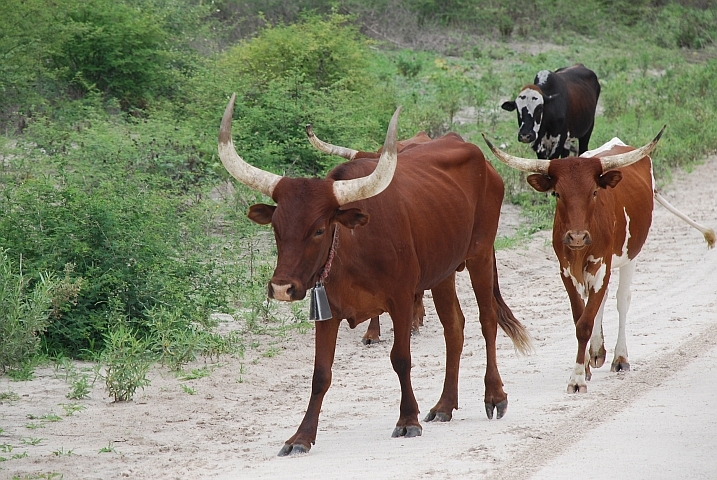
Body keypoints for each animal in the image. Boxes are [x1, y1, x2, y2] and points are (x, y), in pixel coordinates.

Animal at [218, 94, 532, 458]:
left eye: (319, 229)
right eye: (277, 229)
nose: (282, 288)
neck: (352, 248)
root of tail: (476, 154)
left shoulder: (401, 299)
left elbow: (401, 358)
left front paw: (408, 419)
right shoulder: (327, 312)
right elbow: (320, 373)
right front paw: (301, 436)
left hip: (480, 255)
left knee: (487, 320)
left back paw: (494, 396)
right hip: (443, 271)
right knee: (454, 328)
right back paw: (444, 405)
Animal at [484, 129, 712, 392]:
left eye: (594, 192)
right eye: (557, 194)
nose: (577, 236)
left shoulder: (603, 267)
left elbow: (585, 323)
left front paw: (577, 378)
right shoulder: (566, 272)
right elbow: (580, 317)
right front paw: (585, 366)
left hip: (630, 256)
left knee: (622, 300)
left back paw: (619, 358)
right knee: (600, 300)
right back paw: (596, 351)